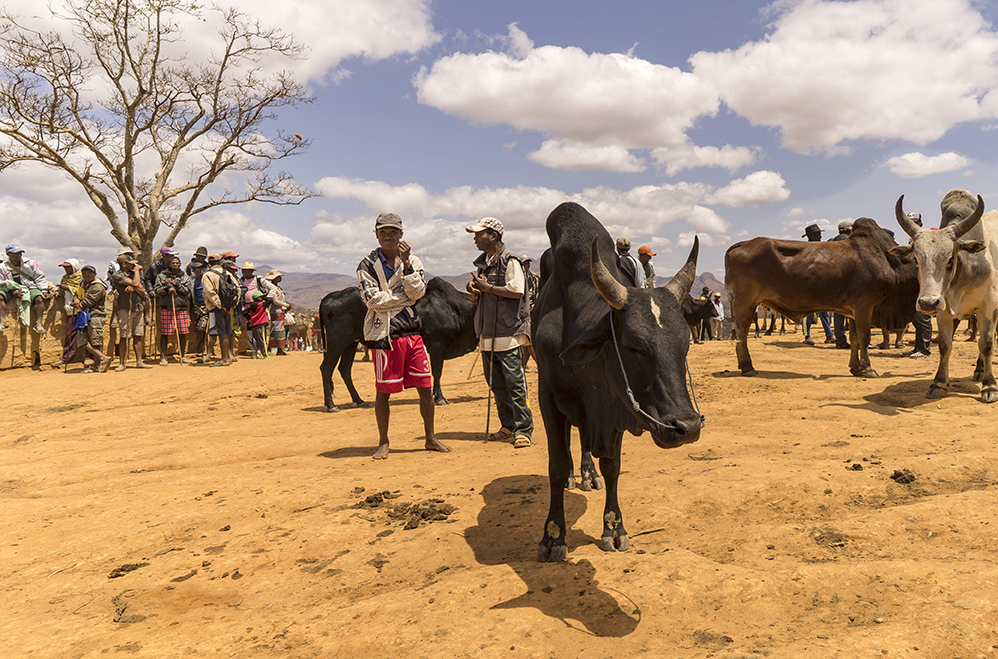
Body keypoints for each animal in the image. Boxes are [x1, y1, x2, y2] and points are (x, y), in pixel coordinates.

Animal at [724, 218, 916, 376]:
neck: (888, 262)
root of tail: (741, 244)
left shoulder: (852, 311)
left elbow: (854, 338)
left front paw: (855, 368)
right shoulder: (864, 306)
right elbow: (864, 337)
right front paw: (868, 368)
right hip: (745, 303)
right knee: (742, 333)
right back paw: (748, 367)